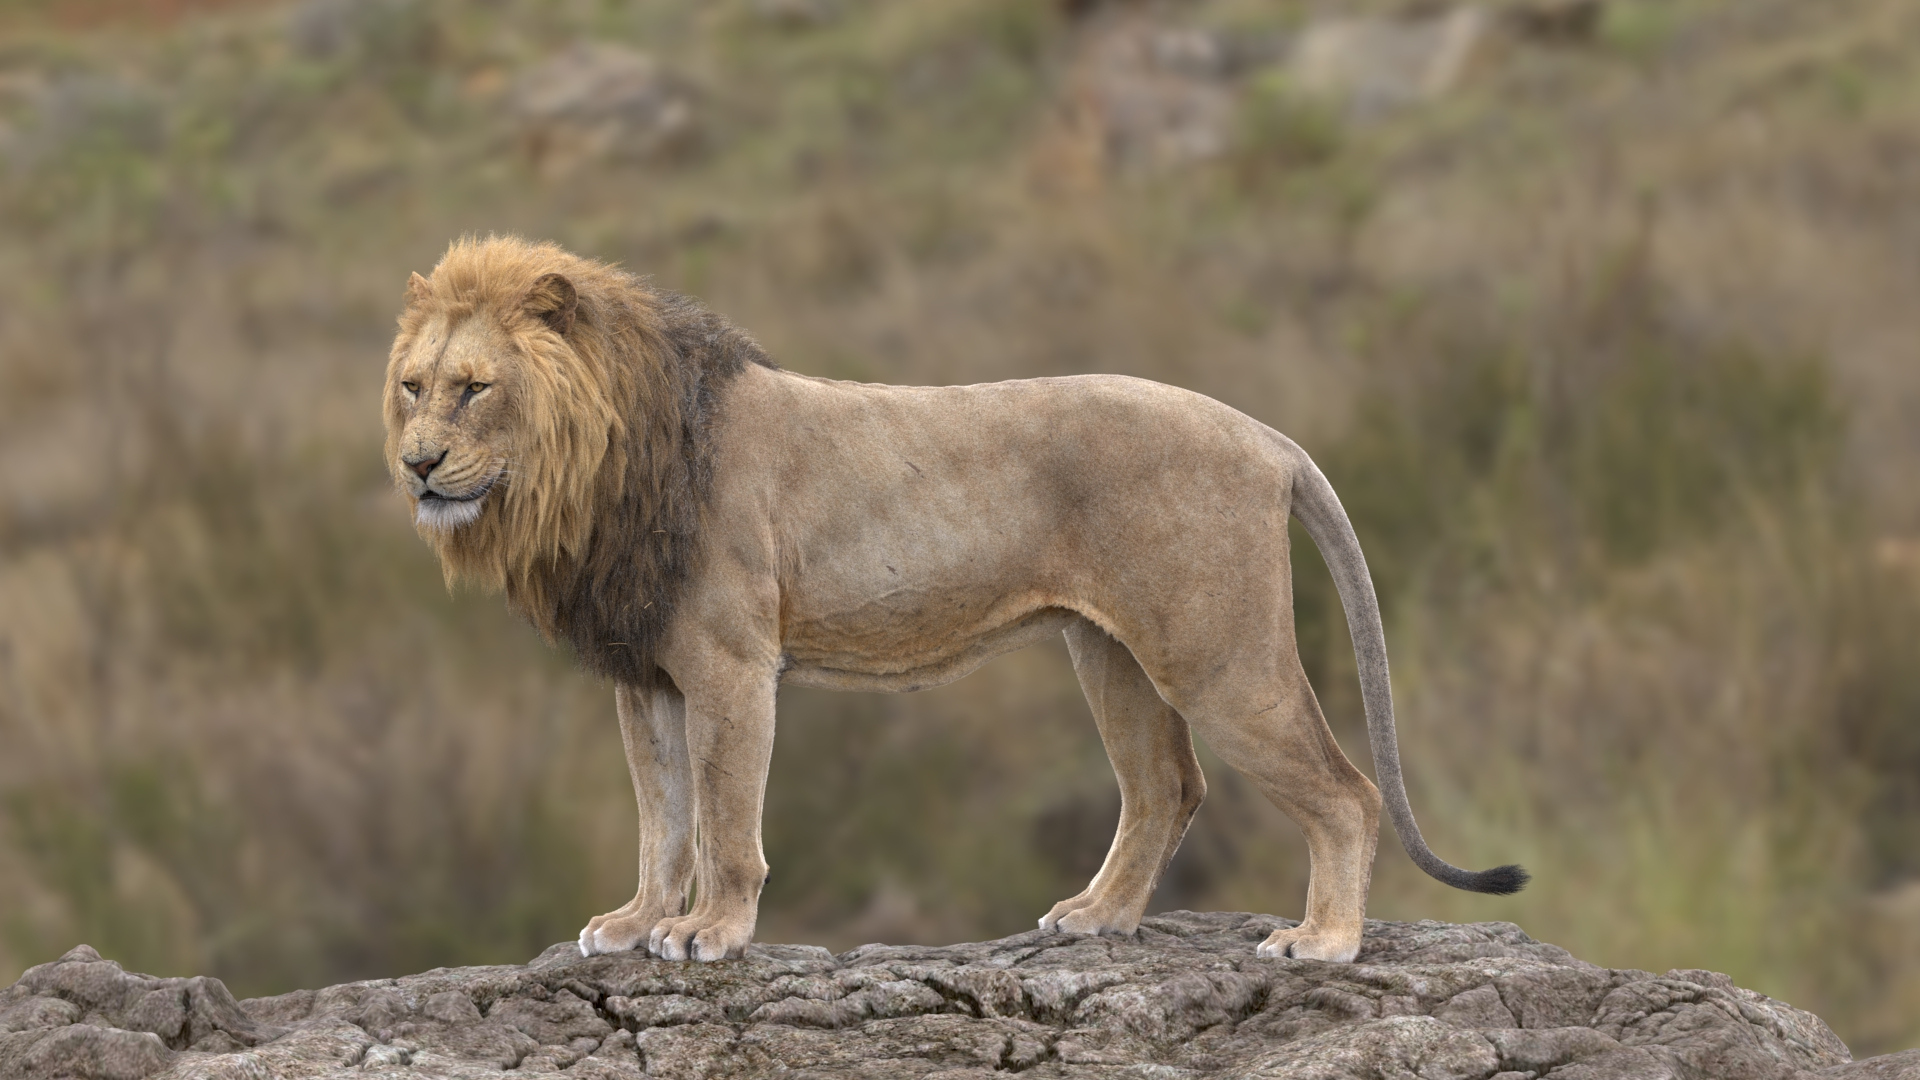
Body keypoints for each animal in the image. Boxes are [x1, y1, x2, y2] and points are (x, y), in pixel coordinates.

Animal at [384, 236, 1526, 964]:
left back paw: (1323, 943)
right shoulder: (645, 674)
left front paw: (709, 934)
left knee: (1345, 792)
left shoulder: (729, 661)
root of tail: (1267, 435)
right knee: (1167, 786)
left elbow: (722, 817)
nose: (418, 465)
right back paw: (1098, 919)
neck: (595, 466)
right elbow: (660, 817)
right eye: (412, 386)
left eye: (476, 387)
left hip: (1215, 653)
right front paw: (631, 925)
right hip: (1109, 653)